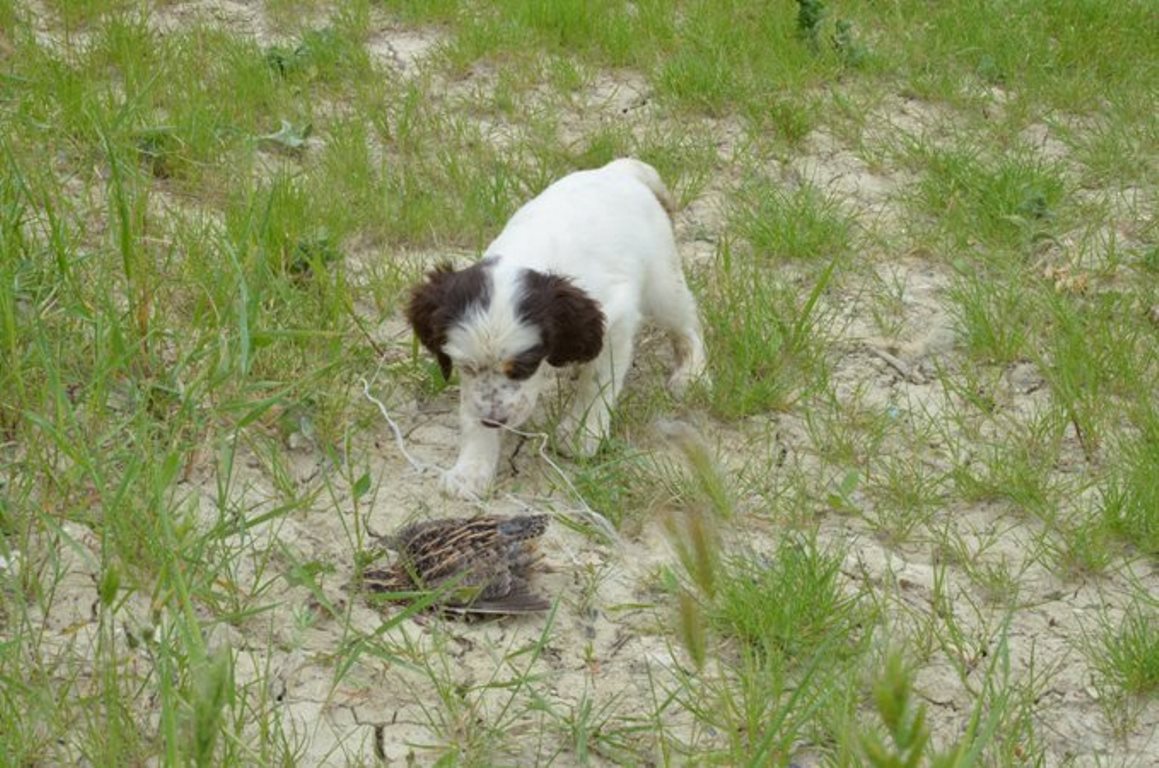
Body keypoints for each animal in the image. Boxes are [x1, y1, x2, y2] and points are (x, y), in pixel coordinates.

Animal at [407, 158, 713, 502]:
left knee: (688, 324)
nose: (495, 420)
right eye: (465, 366)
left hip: (662, 284)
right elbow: (472, 406)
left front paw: (581, 433)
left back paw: (691, 373)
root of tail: (619, 168)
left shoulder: (614, 320)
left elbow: (598, 383)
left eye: (524, 367)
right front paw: (470, 470)